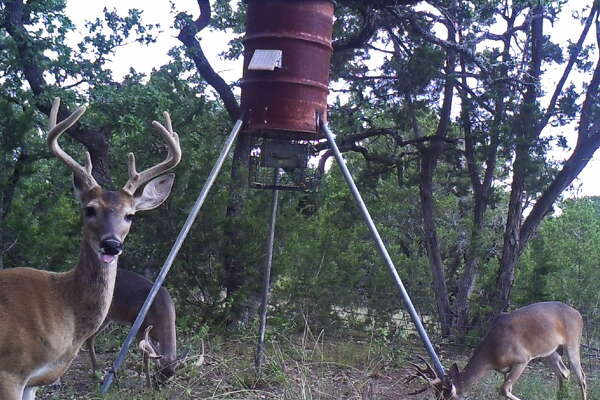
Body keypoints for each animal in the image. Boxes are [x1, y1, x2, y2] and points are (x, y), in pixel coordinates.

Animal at [0, 97, 180, 400]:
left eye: (130, 215)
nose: (112, 244)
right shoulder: (10, 369)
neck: (64, 304)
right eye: (90, 209)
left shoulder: (32, 380)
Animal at [408, 302, 584, 398]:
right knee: (564, 373)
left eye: (447, 396)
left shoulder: (522, 359)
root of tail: (579, 314)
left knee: (581, 375)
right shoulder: (506, 369)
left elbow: (503, 389)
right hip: (550, 352)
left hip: (573, 342)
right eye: (436, 394)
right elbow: (506, 389)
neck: (491, 355)